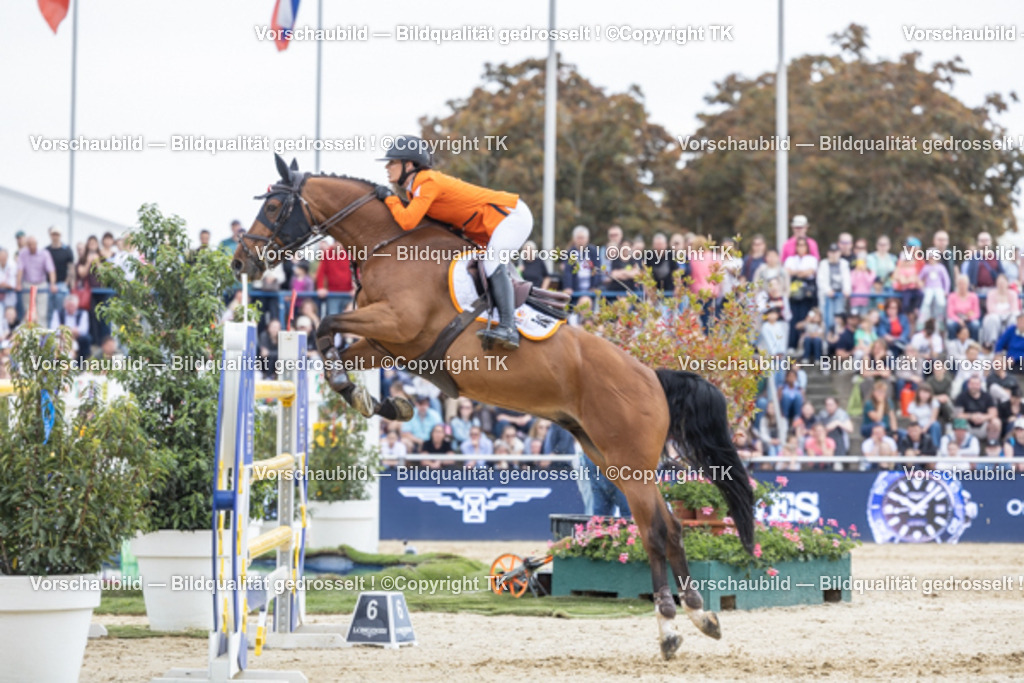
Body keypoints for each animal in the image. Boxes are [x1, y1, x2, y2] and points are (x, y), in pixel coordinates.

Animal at [232, 155, 755, 660]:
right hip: (608, 456)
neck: (389, 243)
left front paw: (362, 391)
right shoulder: (388, 344)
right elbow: (334, 345)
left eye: (274, 206)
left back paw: (669, 627)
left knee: (654, 532)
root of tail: (652, 377)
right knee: (673, 528)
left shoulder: (396, 323)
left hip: (629, 463)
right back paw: (701, 616)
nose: (242, 260)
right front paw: (383, 401)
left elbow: (325, 325)